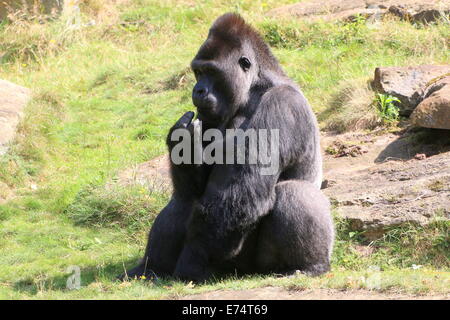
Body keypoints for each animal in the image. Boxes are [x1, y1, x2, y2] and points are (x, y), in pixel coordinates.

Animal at [123, 13, 334, 282]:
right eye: (198, 72)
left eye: (211, 72)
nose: (198, 89)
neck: (252, 88)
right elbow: (198, 185)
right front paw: (183, 142)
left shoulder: (281, 103)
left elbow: (243, 186)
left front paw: (194, 259)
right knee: (184, 198)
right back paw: (150, 269)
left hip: (252, 265)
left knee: (293, 191)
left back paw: (308, 266)